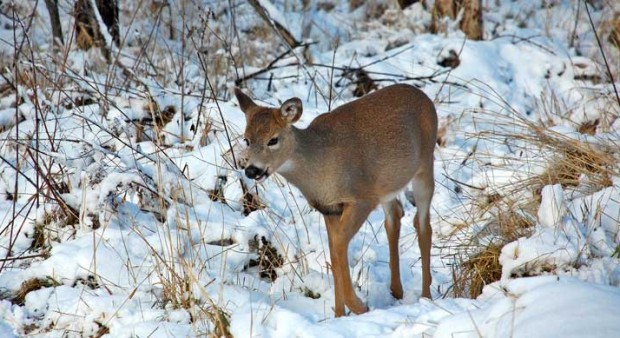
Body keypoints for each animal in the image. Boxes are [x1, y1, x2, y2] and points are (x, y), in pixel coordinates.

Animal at [235, 84, 438, 316]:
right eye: (246, 139)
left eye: (273, 140)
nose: (251, 170)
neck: (319, 166)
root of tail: (423, 96)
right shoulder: (329, 208)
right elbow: (333, 254)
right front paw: (339, 315)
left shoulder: (362, 197)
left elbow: (340, 243)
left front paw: (359, 306)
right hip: (388, 184)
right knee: (394, 216)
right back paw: (396, 291)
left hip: (425, 165)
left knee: (423, 225)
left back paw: (426, 296)